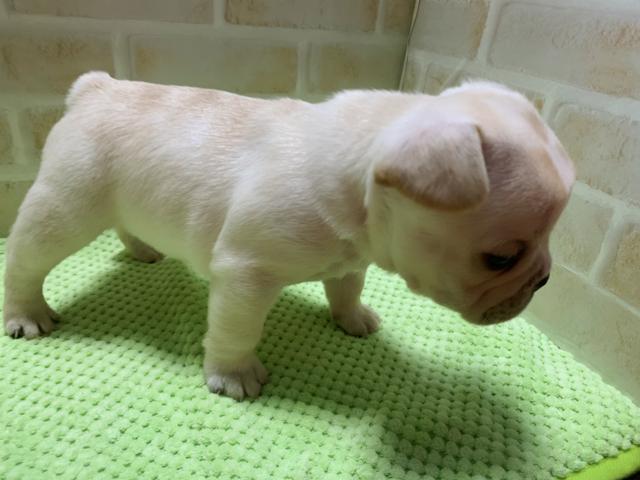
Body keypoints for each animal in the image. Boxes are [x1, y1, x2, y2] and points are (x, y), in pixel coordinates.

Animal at [2, 72, 574, 400]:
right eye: (501, 258)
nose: (544, 279)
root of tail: (97, 88)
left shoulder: (353, 259)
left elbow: (346, 288)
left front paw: (352, 319)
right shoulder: (245, 274)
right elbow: (236, 329)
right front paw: (233, 375)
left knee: (127, 223)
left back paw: (144, 249)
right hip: (67, 206)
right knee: (26, 261)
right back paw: (27, 314)